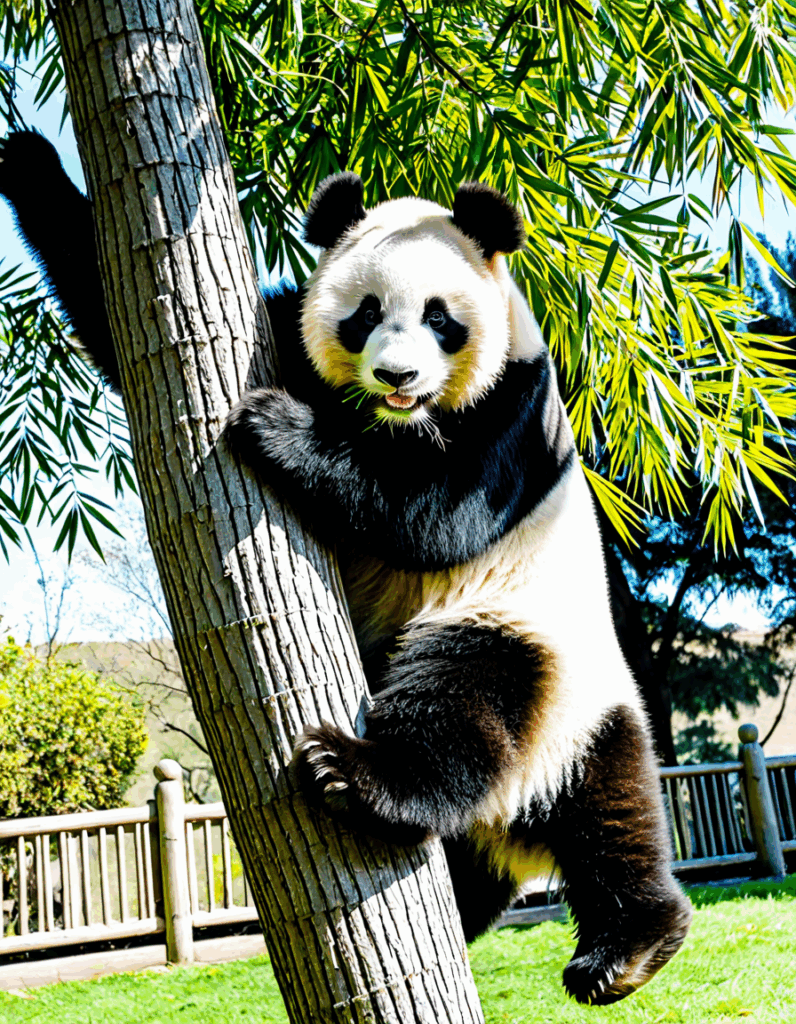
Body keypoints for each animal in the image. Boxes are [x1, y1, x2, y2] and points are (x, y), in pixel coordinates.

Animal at [0, 130, 691, 1005]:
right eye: (364, 316)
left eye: (440, 319)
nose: (397, 377)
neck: (394, 419)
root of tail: (514, 817)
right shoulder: (286, 337)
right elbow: (110, 309)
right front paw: (27, 161)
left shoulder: (519, 410)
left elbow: (433, 512)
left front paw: (276, 427)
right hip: (564, 726)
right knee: (592, 819)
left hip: (538, 645)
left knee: (484, 718)